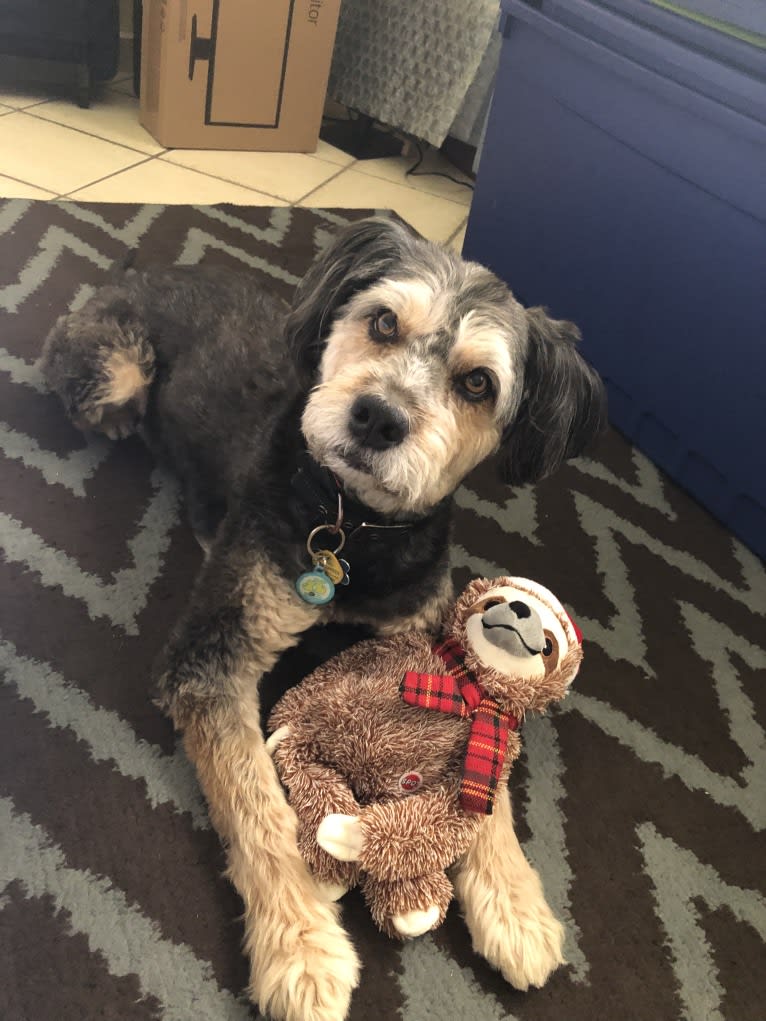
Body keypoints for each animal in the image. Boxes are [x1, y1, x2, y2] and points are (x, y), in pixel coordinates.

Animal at [41, 219, 608, 1021]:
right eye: (383, 321)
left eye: (478, 383)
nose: (377, 416)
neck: (353, 523)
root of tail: (144, 269)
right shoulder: (213, 657)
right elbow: (258, 802)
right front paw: (302, 948)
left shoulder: (432, 640)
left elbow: (487, 771)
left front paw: (517, 906)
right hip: (111, 367)